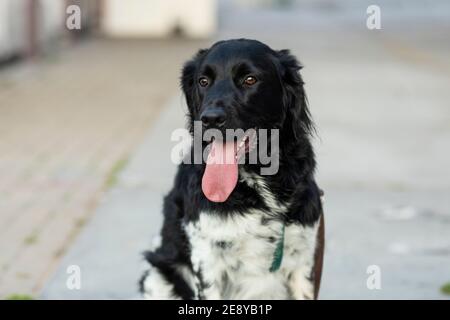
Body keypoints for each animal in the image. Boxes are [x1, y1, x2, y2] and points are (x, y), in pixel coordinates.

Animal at [140, 38, 324, 298]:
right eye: (203, 81)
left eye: (250, 79)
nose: (210, 119)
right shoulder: (207, 261)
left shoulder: (303, 258)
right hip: (158, 276)